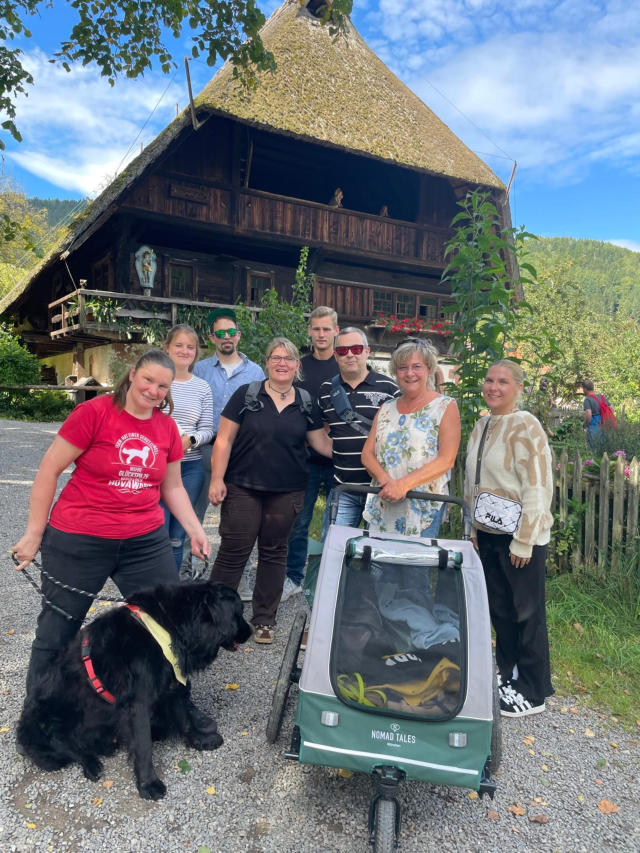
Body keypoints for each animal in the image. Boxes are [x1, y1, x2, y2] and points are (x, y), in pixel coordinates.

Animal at [17, 581, 252, 800]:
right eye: (239, 612)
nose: (250, 632)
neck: (167, 625)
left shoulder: (170, 686)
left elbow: (184, 718)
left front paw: (199, 740)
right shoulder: (138, 703)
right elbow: (143, 746)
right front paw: (148, 784)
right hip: (42, 723)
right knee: (69, 747)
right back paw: (92, 764)